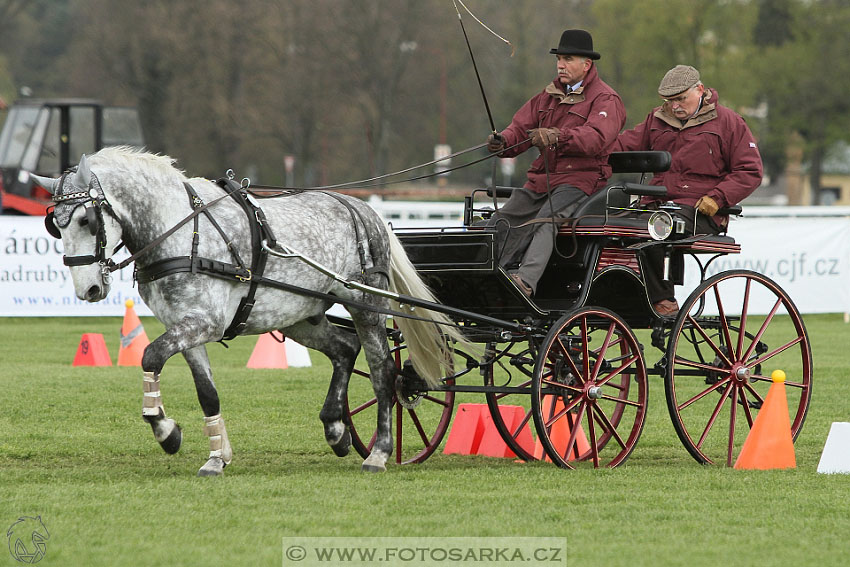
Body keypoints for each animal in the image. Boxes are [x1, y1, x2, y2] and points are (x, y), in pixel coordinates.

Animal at [38, 146, 464, 474]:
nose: (88, 289)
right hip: (300, 317)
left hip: (367, 306)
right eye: (54, 225)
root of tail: (364, 209)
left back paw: (378, 452)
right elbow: (207, 393)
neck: (182, 233)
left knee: (383, 373)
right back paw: (336, 430)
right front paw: (216, 456)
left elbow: (150, 355)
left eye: (86, 220)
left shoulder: (203, 323)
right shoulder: (186, 327)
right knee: (344, 350)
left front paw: (167, 433)